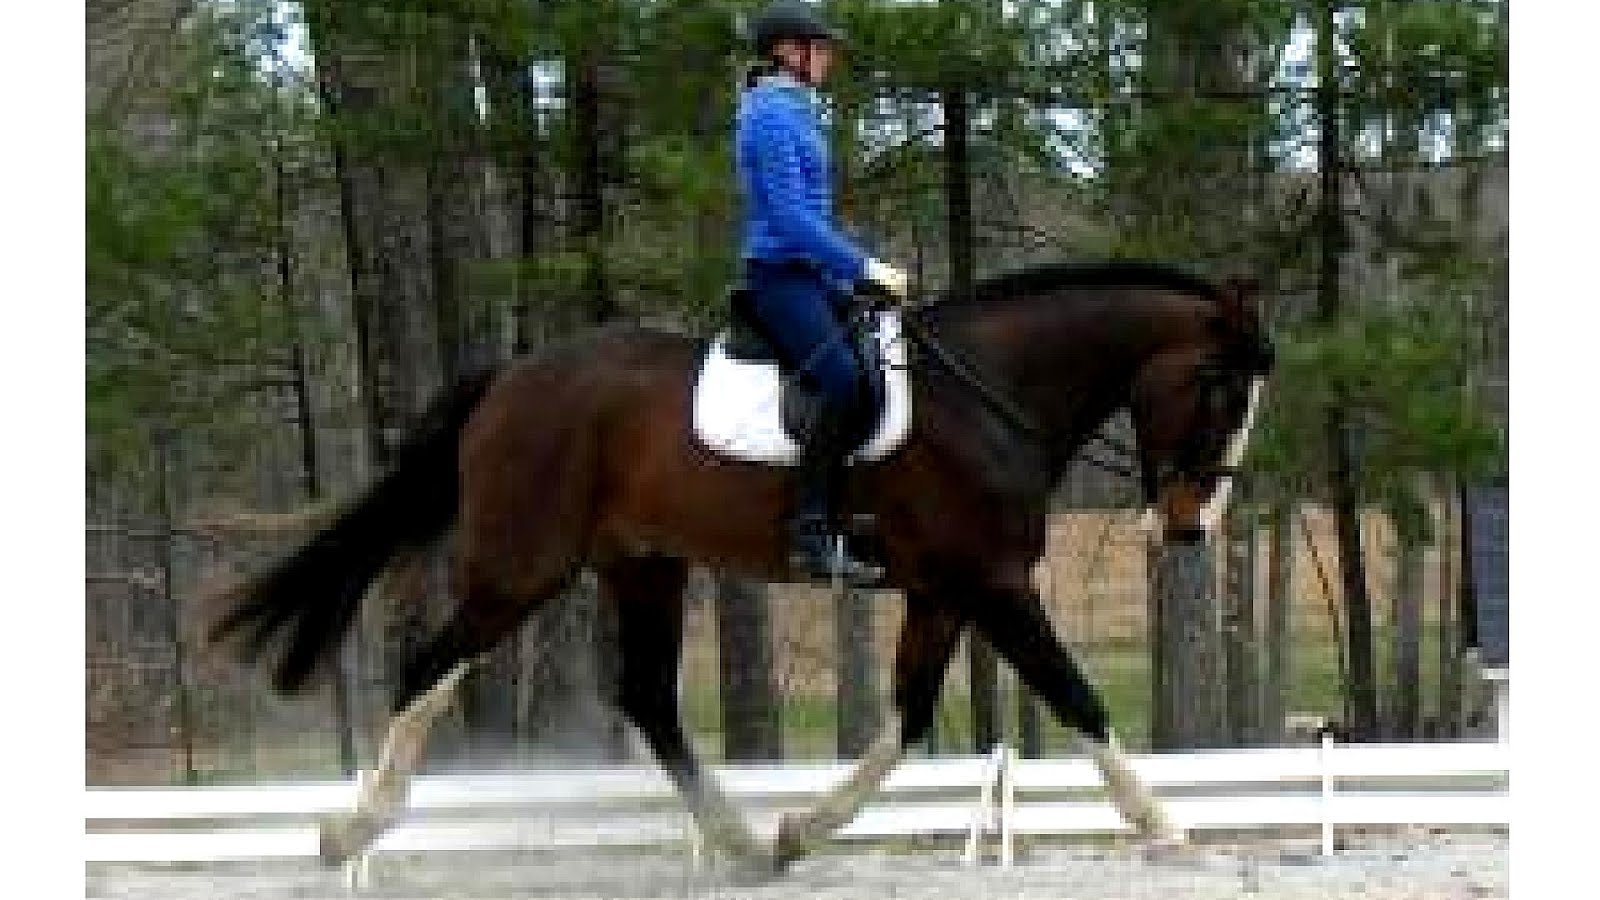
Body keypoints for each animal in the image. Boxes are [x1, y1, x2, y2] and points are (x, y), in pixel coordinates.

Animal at [208, 259, 1274, 874]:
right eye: (1220, 390)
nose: (1190, 529)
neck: (989, 394)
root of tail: (509, 379)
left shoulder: (942, 593)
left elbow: (904, 724)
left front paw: (804, 828)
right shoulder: (993, 587)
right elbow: (1076, 697)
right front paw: (1165, 827)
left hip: (643, 567)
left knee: (648, 699)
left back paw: (741, 841)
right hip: (521, 568)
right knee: (429, 666)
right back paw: (353, 828)